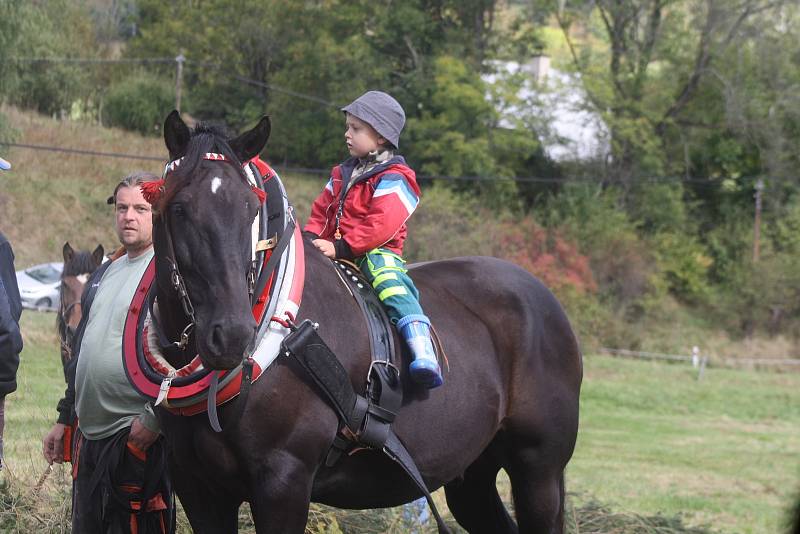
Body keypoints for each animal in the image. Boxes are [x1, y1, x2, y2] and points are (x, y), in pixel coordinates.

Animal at [150, 111, 580, 532]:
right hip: (473, 475)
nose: (232, 334)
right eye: (179, 207)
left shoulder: (283, 482)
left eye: (250, 210)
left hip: (538, 471)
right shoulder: (198, 488)